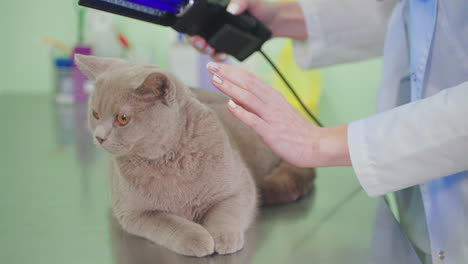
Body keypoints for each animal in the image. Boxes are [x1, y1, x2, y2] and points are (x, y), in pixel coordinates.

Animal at [76, 54, 314, 256]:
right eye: (95, 114)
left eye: (123, 118)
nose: (99, 137)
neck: (169, 161)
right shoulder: (133, 213)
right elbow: (170, 223)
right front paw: (196, 238)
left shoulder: (241, 189)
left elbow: (225, 212)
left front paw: (223, 237)